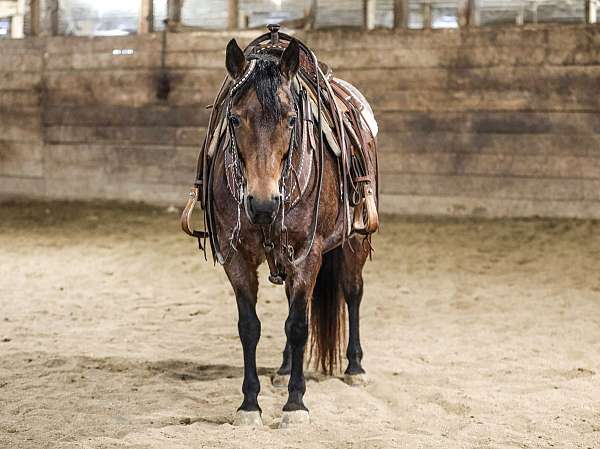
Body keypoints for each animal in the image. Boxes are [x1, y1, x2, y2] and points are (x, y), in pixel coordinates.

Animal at [183, 26, 380, 426]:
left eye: (291, 119)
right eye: (234, 119)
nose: (262, 203)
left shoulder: (308, 255)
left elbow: (299, 325)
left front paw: (295, 404)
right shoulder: (236, 258)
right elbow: (250, 327)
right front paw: (249, 404)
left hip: (354, 242)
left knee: (352, 292)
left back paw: (354, 368)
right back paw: (287, 367)